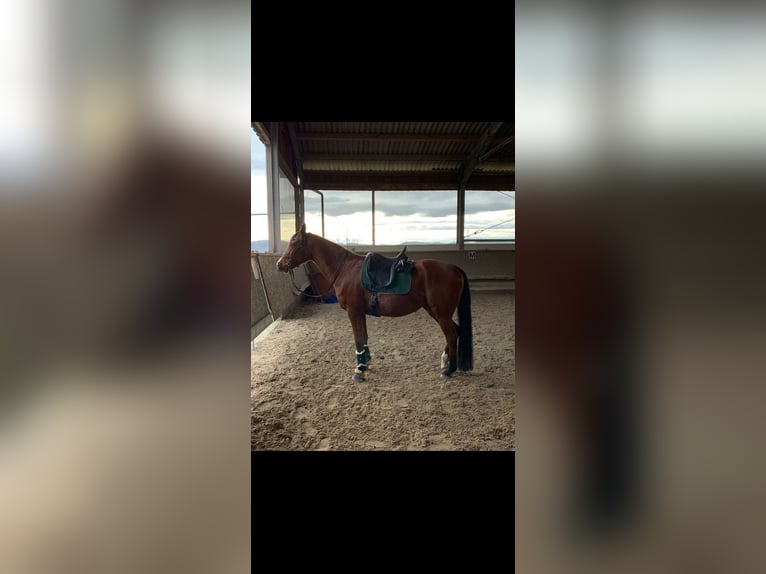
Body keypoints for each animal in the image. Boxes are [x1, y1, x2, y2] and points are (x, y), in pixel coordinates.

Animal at [276, 223, 473, 382]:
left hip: (441, 313)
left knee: (451, 333)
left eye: (294, 243)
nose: (280, 264)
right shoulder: (360, 312)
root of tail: (454, 268)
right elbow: (364, 338)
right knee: (455, 331)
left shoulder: (353, 312)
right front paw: (365, 363)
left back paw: (449, 370)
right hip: (435, 311)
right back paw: (445, 362)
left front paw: (359, 370)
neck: (345, 269)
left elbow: (358, 340)